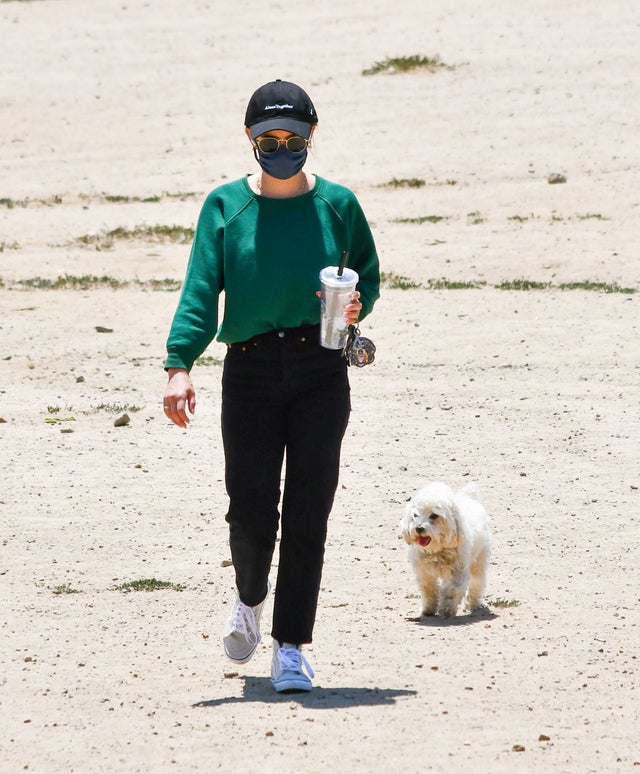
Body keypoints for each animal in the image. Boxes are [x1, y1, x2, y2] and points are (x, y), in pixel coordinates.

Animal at [402, 482, 492, 620]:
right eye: (415, 515)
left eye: (434, 515)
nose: (419, 528)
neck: (436, 551)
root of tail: (470, 497)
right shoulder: (424, 574)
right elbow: (428, 591)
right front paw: (428, 609)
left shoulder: (458, 573)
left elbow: (451, 591)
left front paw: (447, 610)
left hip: (478, 562)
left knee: (477, 583)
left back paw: (474, 603)